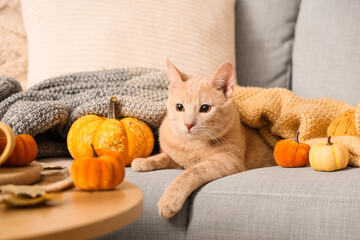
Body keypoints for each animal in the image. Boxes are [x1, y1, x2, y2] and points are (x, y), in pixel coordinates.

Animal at [132, 59, 276, 218]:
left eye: (205, 108)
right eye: (179, 107)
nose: (188, 124)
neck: (192, 145)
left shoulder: (228, 161)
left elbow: (191, 172)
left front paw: (170, 199)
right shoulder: (178, 160)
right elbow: (164, 157)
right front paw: (145, 161)